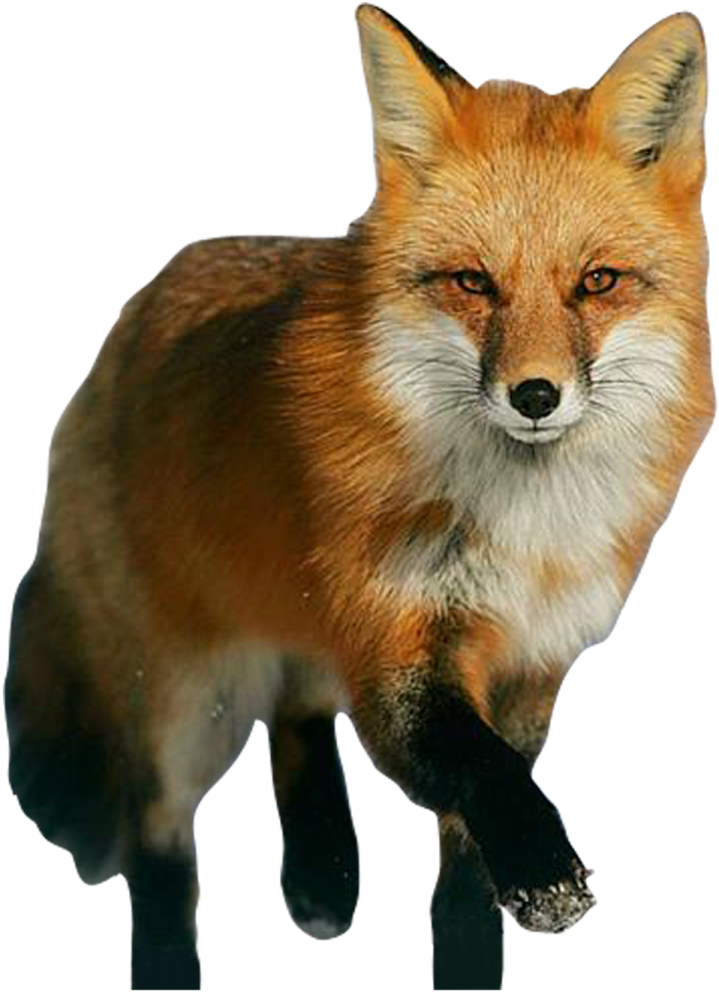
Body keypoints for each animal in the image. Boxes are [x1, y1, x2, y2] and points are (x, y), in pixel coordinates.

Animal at [5, 4, 714, 990]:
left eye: (597, 282)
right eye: (471, 283)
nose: (535, 395)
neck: (523, 531)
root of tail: (127, 317)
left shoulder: (534, 661)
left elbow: (467, 854)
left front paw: (471, 949)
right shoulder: (394, 639)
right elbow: (476, 767)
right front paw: (544, 869)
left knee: (297, 709)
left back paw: (323, 874)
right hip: (182, 697)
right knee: (161, 844)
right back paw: (174, 959)